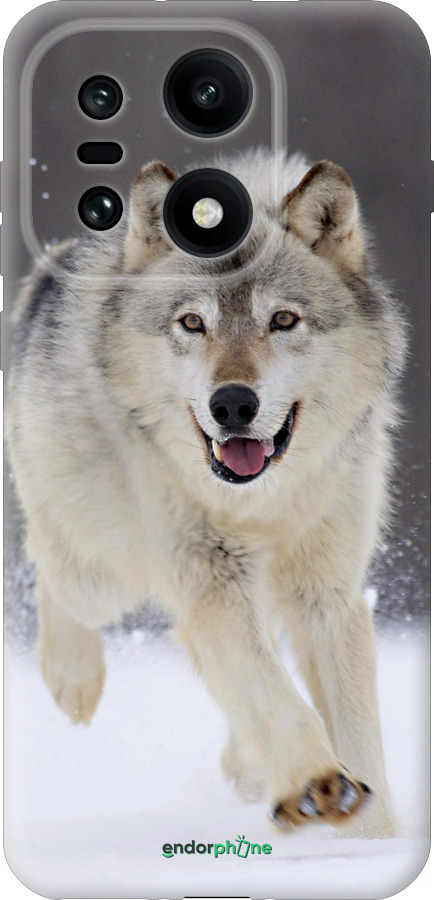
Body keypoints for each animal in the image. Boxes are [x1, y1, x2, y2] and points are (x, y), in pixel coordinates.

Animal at [6, 149, 406, 837]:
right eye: (193, 323)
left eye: (283, 320)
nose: (233, 404)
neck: (263, 503)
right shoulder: (211, 581)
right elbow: (275, 696)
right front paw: (318, 783)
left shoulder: (327, 594)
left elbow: (354, 733)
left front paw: (369, 836)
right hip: (101, 572)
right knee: (51, 566)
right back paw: (73, 680)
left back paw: (249, 767)